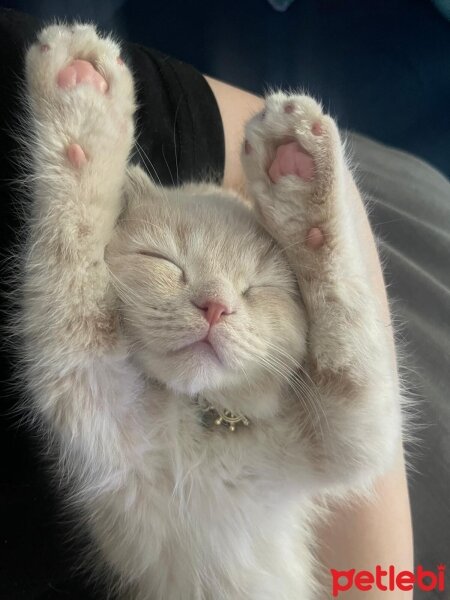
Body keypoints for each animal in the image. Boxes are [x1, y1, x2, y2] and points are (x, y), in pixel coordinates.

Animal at [19, 23, 402, 600]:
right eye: (164, 260)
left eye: (258, 289)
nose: (216, 306)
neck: (201, 423)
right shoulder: (80, 367)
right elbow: (74, 240)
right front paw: (82, 95)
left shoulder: (356, 430)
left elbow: (353, 330)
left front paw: (301, 172)